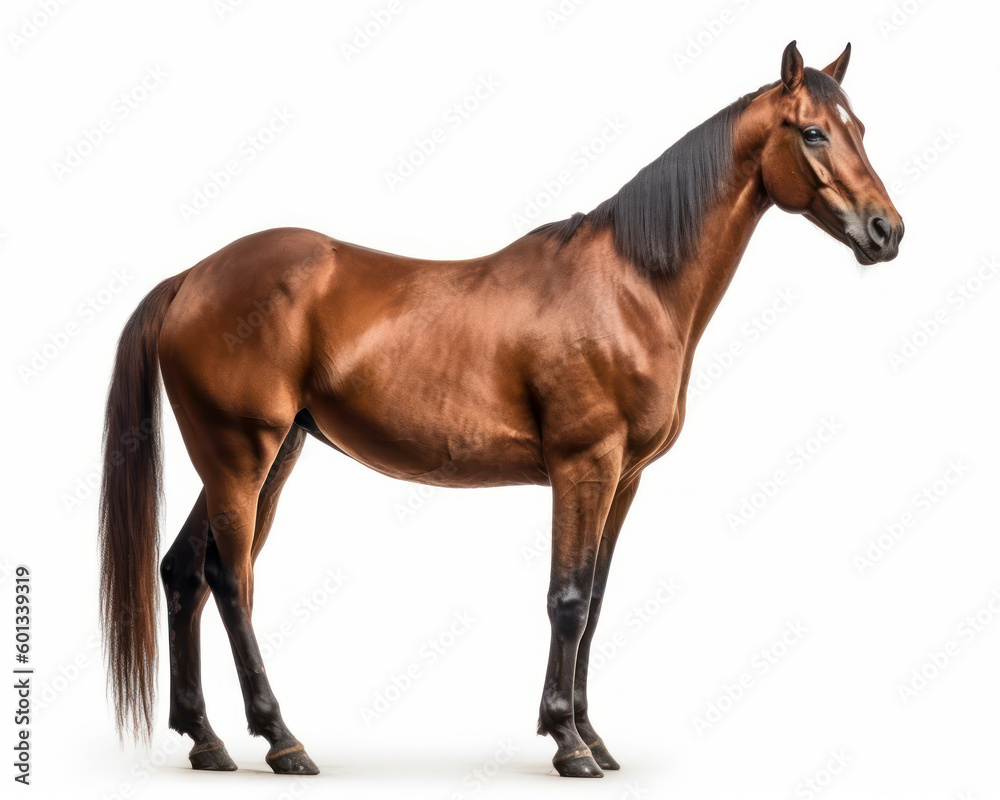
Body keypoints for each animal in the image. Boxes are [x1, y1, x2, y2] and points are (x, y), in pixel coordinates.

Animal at [99, 41, 903, 778]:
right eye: (812, 132)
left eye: (859, 126)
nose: (886, 231)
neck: (631, 286)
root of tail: (193, 276)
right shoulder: (584, 465)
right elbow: (568, 599)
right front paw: (568, 743)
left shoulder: (625, 478)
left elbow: (597, 599)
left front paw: (593, 737)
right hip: (241, 455)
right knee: (231, 580)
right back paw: (281, 740)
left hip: (264, 458)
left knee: (183, 572)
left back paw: (206, 741)